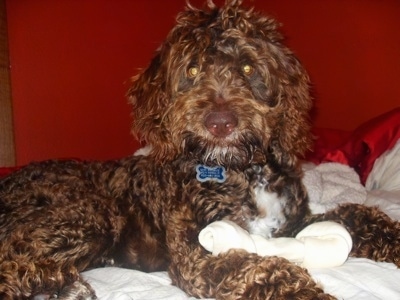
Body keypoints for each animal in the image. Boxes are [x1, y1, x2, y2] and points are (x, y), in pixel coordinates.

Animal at [0, 0, 400, 298]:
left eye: (248, 67)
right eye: (191, 71)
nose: (220, 123)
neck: (243, 171)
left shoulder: (294, 224)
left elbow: (358, 216)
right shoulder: (198, 254)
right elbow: (263, 269)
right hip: (86, 215)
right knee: (12, 265)